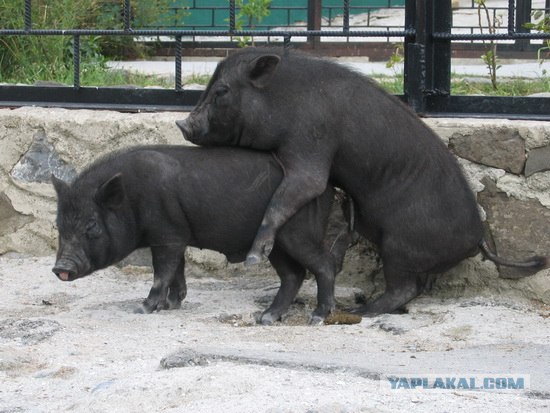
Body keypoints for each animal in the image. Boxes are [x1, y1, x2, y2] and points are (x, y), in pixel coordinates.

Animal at [179, 46, 548, 314]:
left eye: (221, 91)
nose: (183, 124)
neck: (282, 100)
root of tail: (478, 240)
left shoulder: (310, 146)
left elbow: (290, 195)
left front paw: (255, 256)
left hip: (399, 244)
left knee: (404, 288)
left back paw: (363, 310)